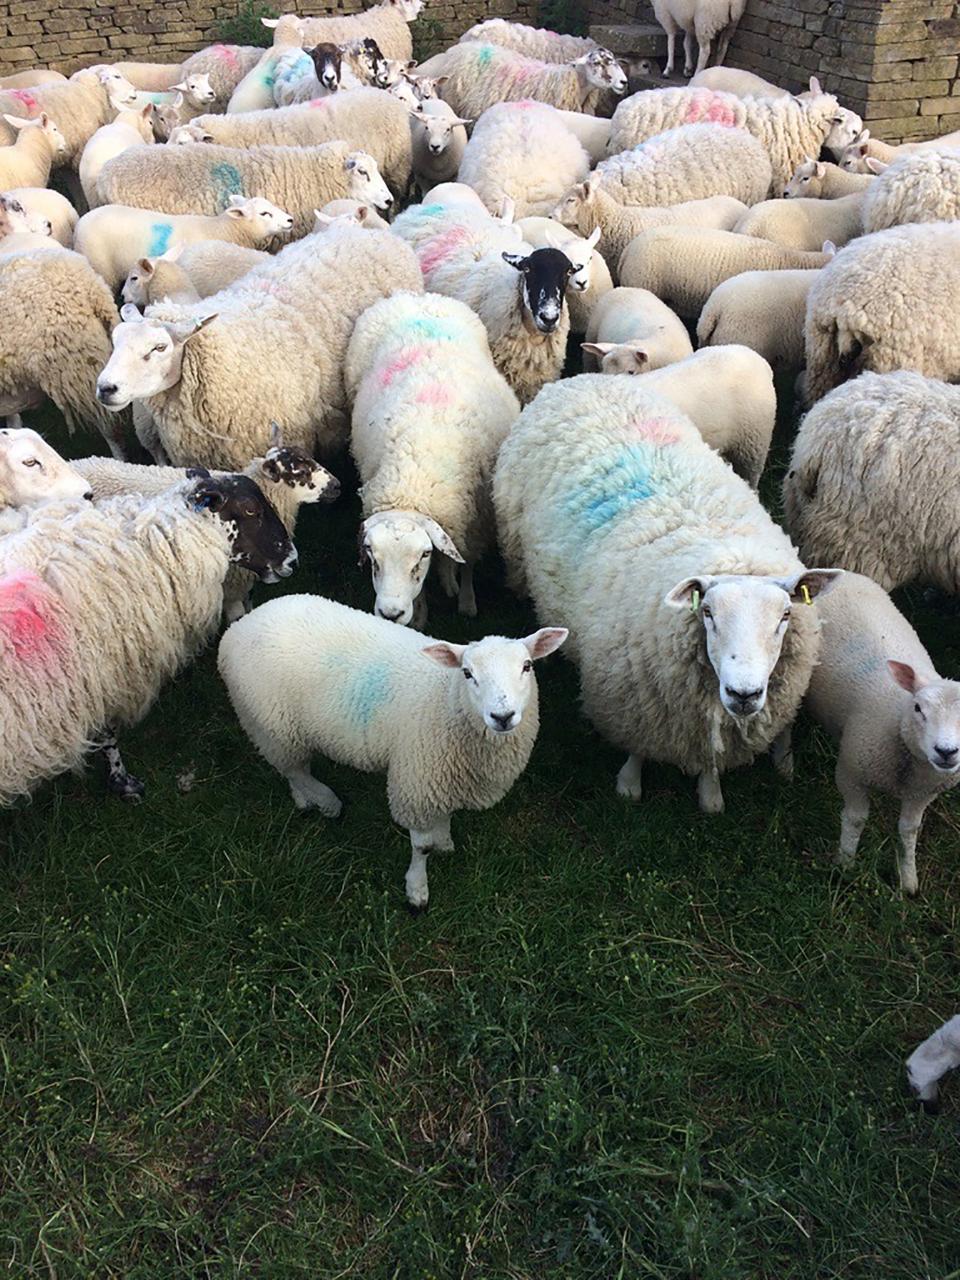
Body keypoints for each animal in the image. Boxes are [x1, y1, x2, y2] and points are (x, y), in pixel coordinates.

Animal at [218, 593, 566, 909]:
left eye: (527, 666)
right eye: (467, 673)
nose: (502, 716)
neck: (446, 698)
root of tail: (236, 629)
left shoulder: (442, 779)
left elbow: (445, 818)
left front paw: (445, 841)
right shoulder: (417, 781)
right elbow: (421, 847)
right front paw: (417, 890)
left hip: (274, 729)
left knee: (293, 769)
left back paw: (304, 800)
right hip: (270, 721)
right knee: (295, 768)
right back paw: (328, 803)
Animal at [346, 292, 520, 627]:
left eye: (422, 555)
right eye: (372, 556)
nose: (390, 614)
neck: (414, 480)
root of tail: (416, 296)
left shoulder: (473, 519)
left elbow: (467, 563)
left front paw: (465, 599)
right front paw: (420, 617)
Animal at [492, 375, 841, 812]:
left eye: (785, 616)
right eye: (707, 613)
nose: (743, 693)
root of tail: (579, 380)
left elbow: (710, 757)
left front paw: (710, 795)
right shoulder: (634, 699)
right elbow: (637, 748)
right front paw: (629, 784)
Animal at [785, 572, 960, 897]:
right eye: (918, 708)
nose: (946, 751)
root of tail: (843, 574)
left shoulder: (923, 792)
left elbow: (908, 831)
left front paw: (908, 882)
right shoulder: (851, 772)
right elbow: (855, 820)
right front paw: (844, 864)